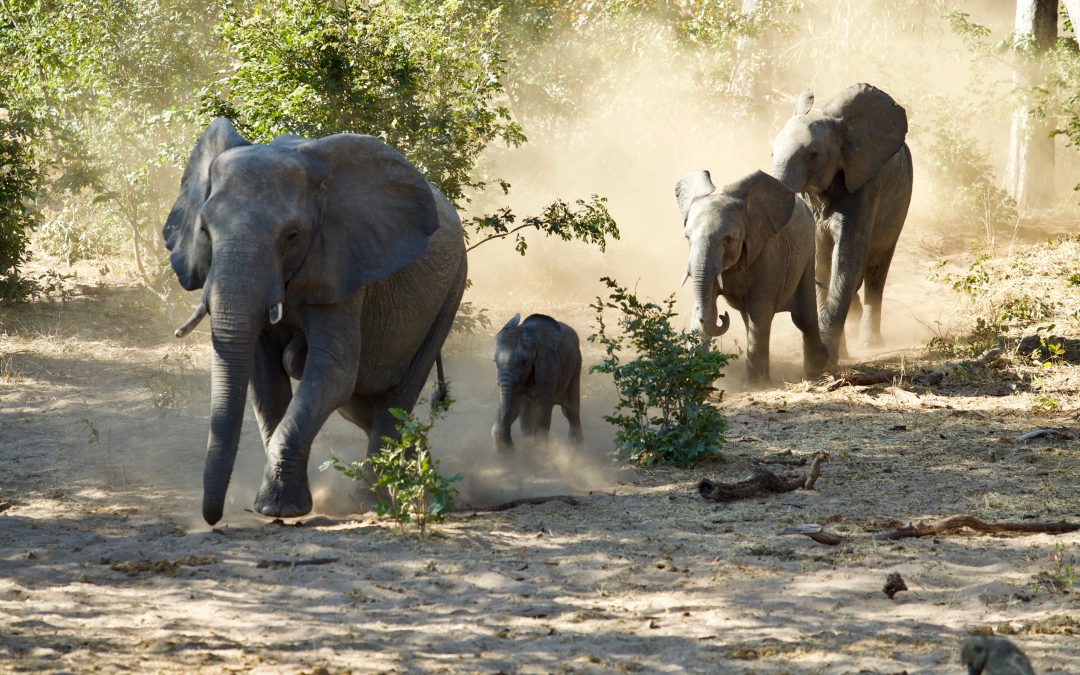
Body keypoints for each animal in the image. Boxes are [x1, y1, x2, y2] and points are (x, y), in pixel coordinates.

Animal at [163, 118, 467, 525]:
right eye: (204, 231)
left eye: (292, 235)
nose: (213, 518)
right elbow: (266, 379)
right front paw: (277, 509)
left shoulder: (343, 265)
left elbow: (331, 374)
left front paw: (277, 508)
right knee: (363, 404)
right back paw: (424, 487)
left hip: (450, 291)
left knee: (395, 398)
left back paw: (374, 502)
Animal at [491, 313, 583, 454]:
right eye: (494, 361)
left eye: (524, 361)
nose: (512, 446)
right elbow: (514, 407)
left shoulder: (549, 366)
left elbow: (542, 410)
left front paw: (538, 452)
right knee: (526, 411)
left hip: (576, 365)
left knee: (570, 410)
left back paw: (577, 448)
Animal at [676, 169, 828, 384]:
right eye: (688, 238)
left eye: (728, 239)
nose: (723, 317)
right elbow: (706, 308)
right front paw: (695, 383)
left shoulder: (769, 254)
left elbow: (760, 310)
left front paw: (754, 386)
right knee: (750, 318)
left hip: (808, 252)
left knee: (802, 317)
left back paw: (815, 370)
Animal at [768, 83, 913, 365]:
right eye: (771, 151)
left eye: (813, 154)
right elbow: (820, 266)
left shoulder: (863, 187)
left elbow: (846, 261)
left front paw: (827, 357)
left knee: (877, 269)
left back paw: (870, 342)